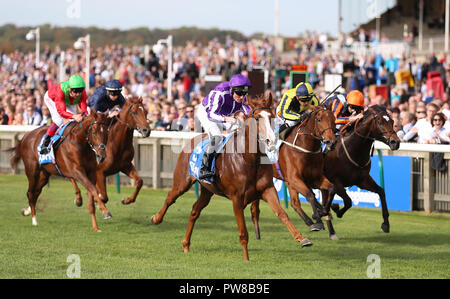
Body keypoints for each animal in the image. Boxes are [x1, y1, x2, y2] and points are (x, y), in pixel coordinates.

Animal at [151, 94, 312, 262]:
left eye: (272, 117)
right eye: (256, 118)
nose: (271, 140)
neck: (248, 159)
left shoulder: (267, 189)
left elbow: (282, 214)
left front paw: (302, 239)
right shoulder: (237, 198)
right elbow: (243, 232)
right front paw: (247, 259)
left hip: (208, 190)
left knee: (195, 210)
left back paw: (186, 244)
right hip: (182, 181)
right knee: (170, 197)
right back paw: (156, 218)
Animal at [251, 106, 336, 240]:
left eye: (334, 119)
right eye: (319, 119)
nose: (331, 142)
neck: (305, 147)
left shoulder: (315, 178)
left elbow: (331, 188)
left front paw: (323, 211)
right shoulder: (294, 179)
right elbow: (310, 195)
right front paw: (317, 219)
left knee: (295, 203)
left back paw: (311, 221)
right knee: (255, 208)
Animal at [320, 104, 400, 238]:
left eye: (392, 121)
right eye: (380, 122)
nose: (396, 142)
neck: (352, 150)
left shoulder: (362, 180)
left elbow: (381, 191)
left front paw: (386, 224)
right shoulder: (336, 181)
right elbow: (348, 201)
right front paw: (337, 210)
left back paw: (330, 230)